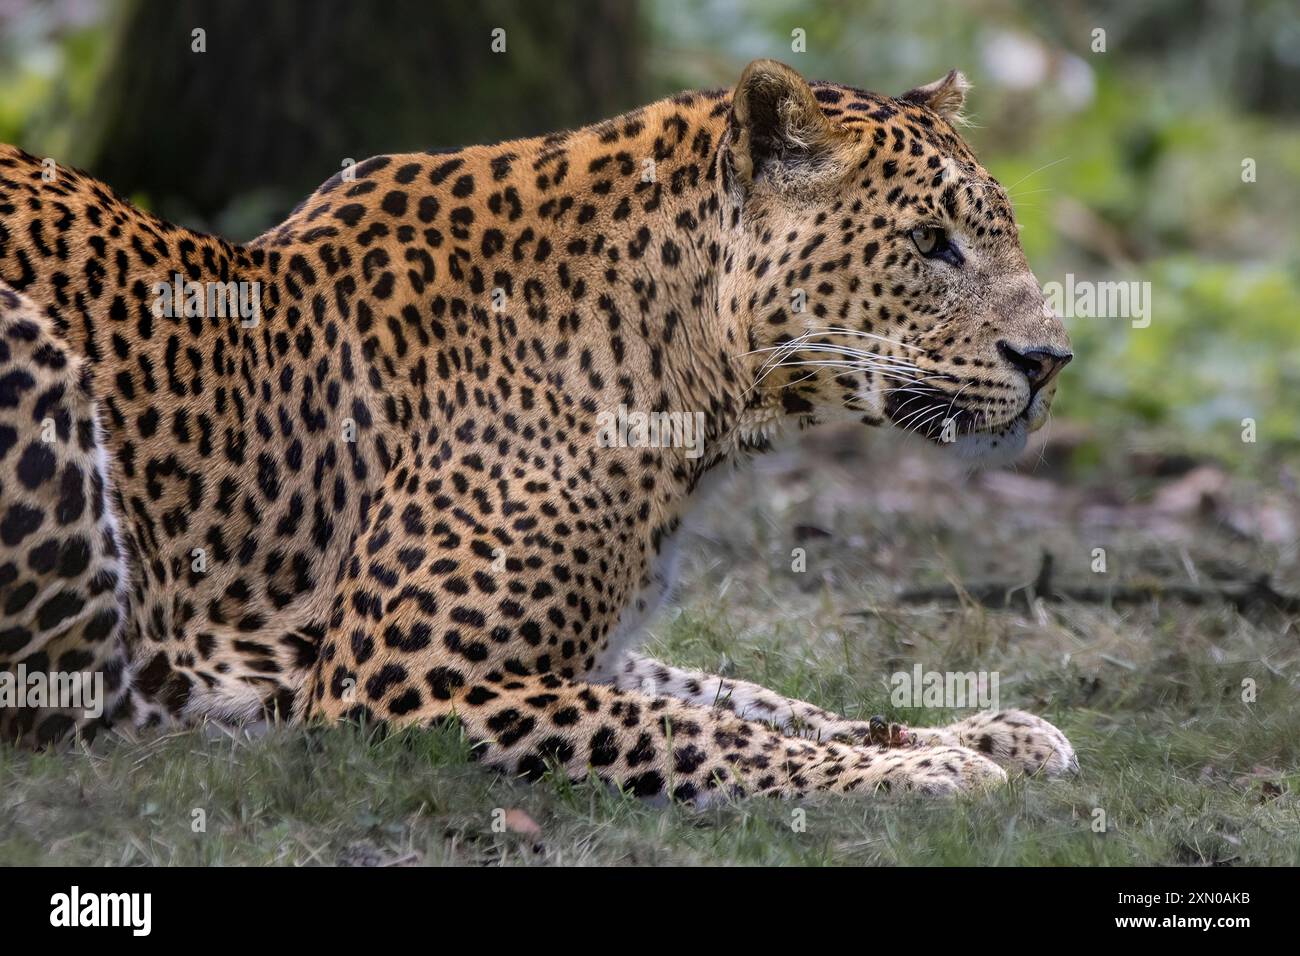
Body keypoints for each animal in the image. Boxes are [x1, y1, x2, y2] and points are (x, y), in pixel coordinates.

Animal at [0, 61, 1076, 801]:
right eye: (928, 244)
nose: (1051, 359)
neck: (696, 389)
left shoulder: (582, 651)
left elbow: (739, 693)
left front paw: (984, 732)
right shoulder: (405, 675)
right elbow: (696, 730)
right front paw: (928, 769)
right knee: (71, 717)